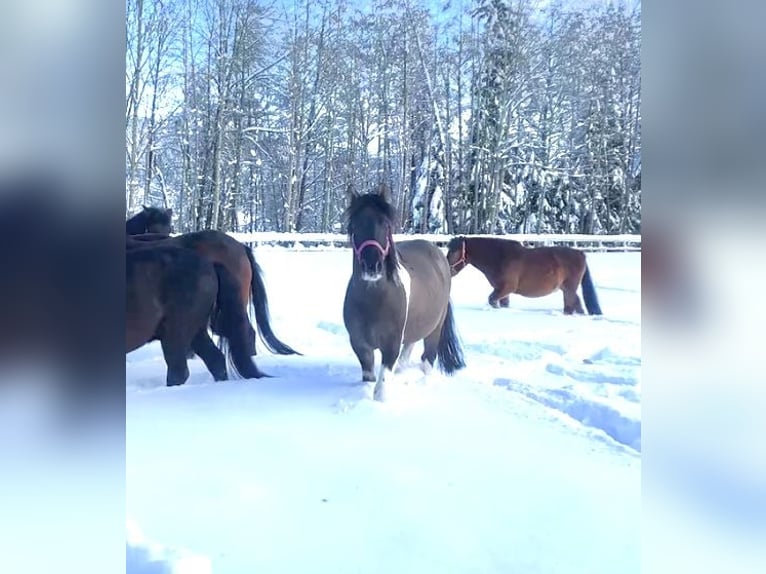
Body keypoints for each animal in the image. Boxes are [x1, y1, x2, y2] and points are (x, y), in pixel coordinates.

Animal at [344, 187, 464, 402]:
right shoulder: (360, 345)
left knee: (427, 359)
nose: (372, 266)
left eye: (385, 225)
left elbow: (381, 387)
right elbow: (369, 376)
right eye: (355, 225)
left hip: (434, 330)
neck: (374, 301)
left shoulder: (391, 345)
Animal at [448, 236, 604, 318]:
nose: (448, 271)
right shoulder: (502, 291)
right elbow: (502, 304)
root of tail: (581, 254)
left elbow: (491, 300)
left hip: (569, 290)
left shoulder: (506, 288)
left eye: (454, 252)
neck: (500, 257)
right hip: (567, 290)